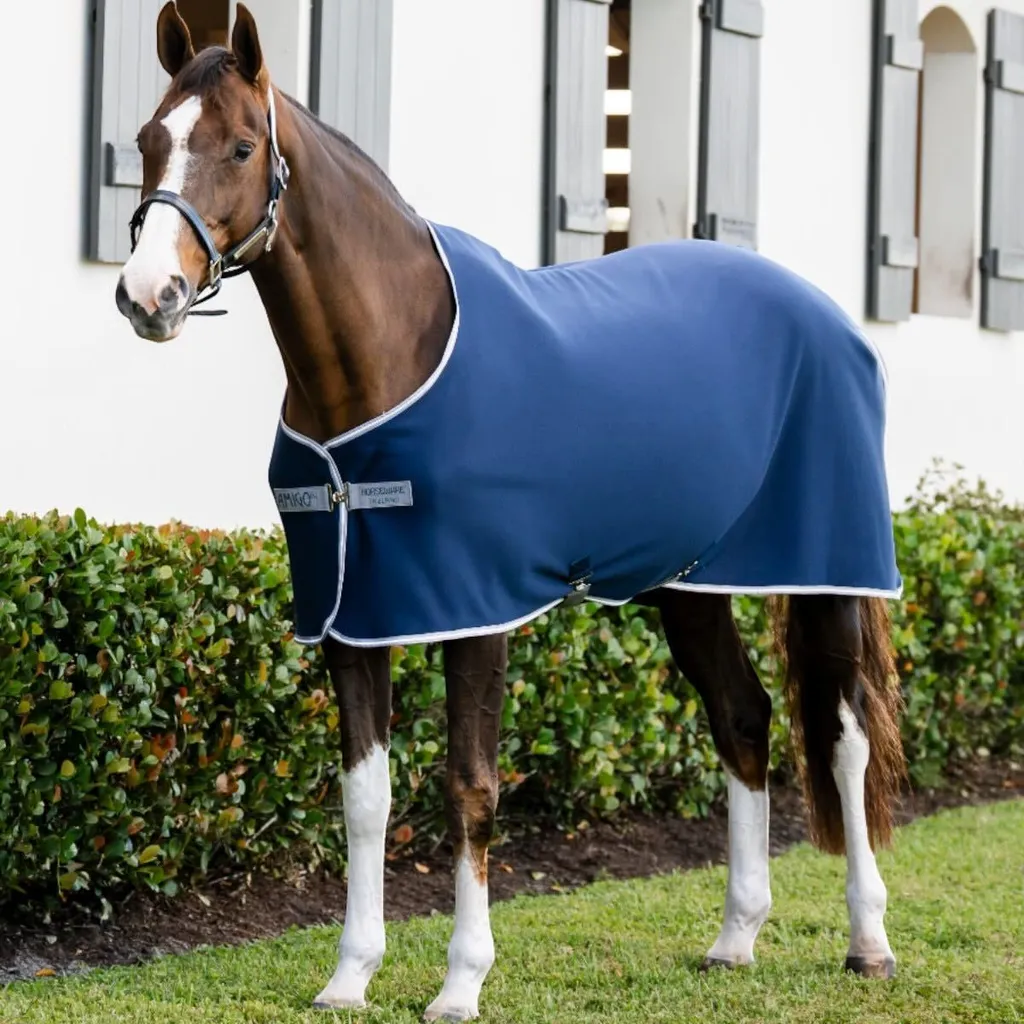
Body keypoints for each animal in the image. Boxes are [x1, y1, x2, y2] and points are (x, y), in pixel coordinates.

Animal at [115, 4, 906, 1018]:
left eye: (244, 146)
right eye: (148, 140)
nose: (149, 295)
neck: (389, 356)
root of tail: (829, 316)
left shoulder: (474, 611)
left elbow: (470, 788)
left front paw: (460, 982)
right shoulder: (352, 617)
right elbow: (365, 799)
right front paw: (349, 975)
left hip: (831, 571)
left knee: (846, 739)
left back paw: (869, 940)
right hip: (691, 588)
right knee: (744, 717)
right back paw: (735, 937)